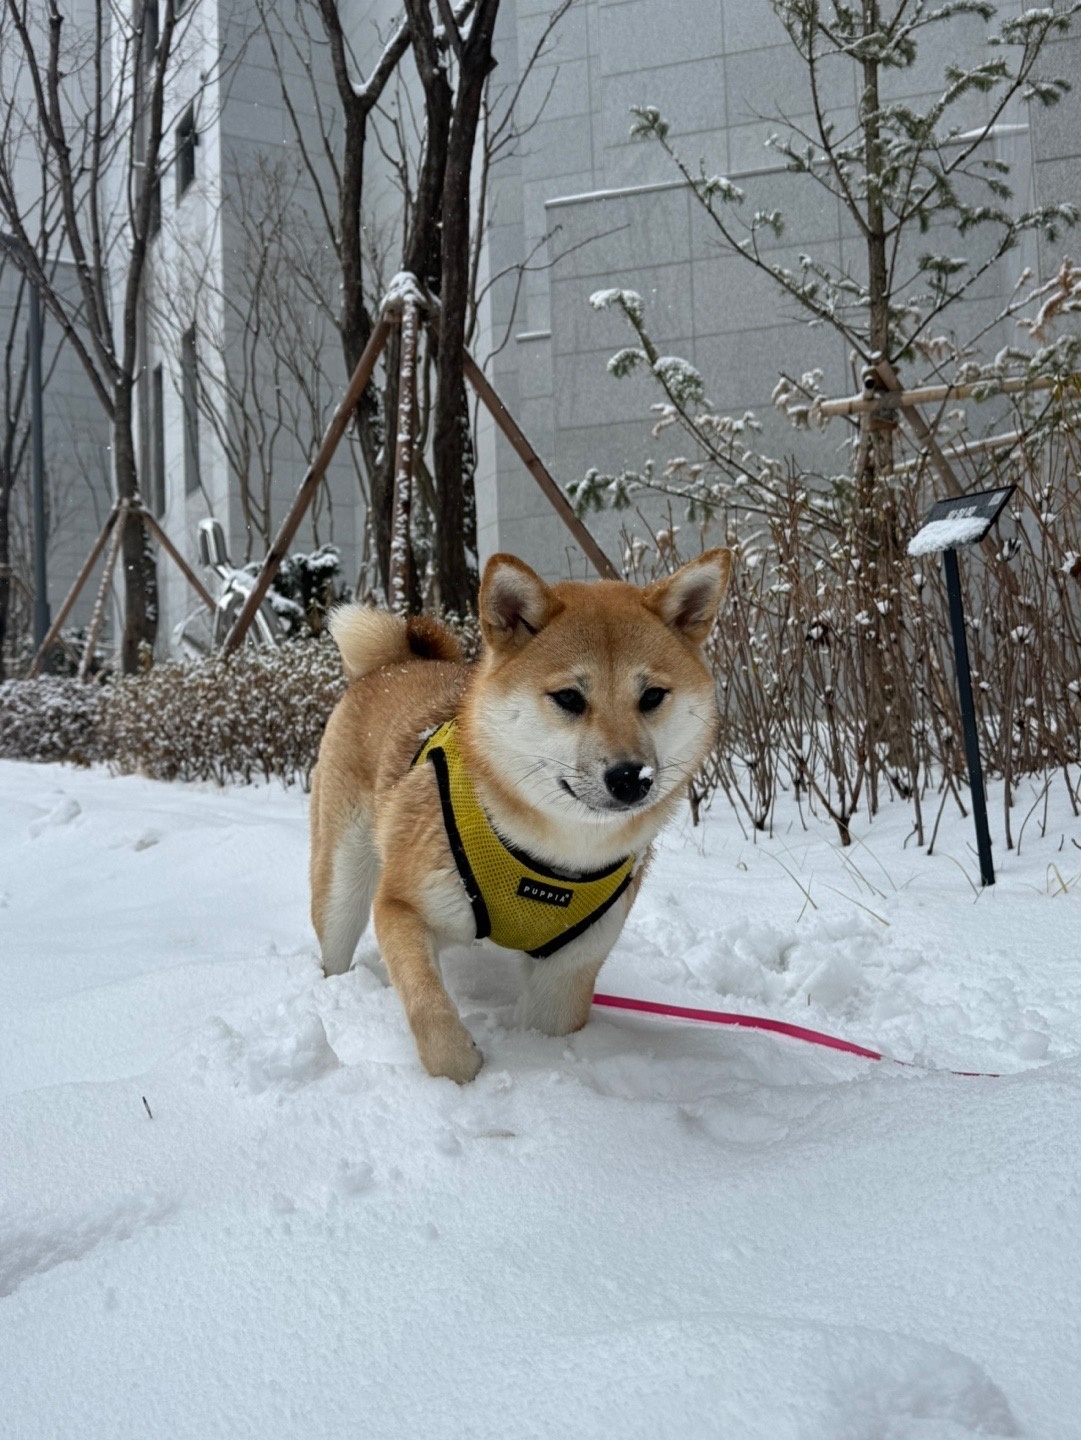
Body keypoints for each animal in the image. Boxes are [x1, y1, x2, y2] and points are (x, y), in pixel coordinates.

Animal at [312, 547, 736, 1082]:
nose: (630, 777)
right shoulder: (403, 907)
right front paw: (461, 1071)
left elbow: (550, 1028)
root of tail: (393, 666)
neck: (556, 856)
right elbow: (429, 1008)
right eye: (569, 698)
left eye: (652, 696)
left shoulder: (569, 969)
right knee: (335, 944)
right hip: (342, 890)